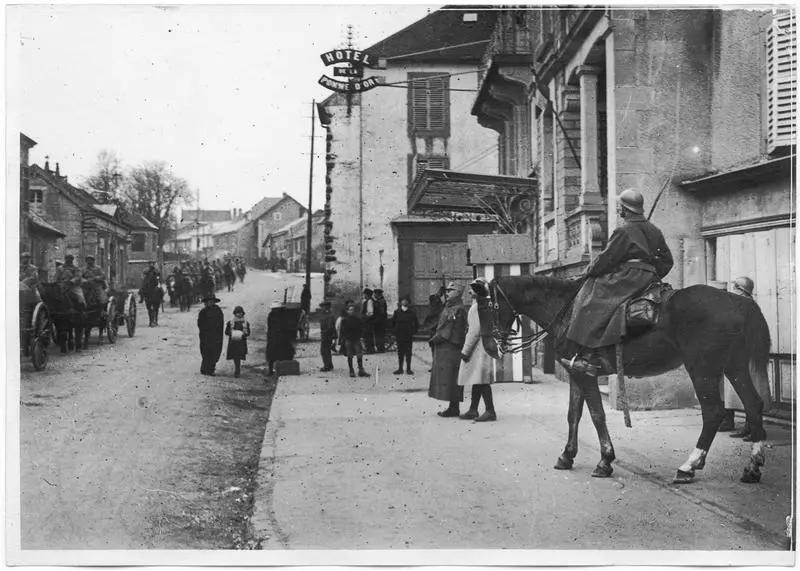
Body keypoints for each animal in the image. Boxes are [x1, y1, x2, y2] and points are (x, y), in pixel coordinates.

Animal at [478, 278, 772, 488]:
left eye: (488, 308)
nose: (490, 348)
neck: (568, 311)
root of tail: (738, 302)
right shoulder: (575, 372)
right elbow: (573, 415)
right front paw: (567, 456)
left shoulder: (586, 373)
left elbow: (597, 415)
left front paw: (605, 460)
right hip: (734, 366)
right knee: (753, 405)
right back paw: (752, 466)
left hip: (703, 369)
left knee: (713, 412)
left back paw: (688, 466)